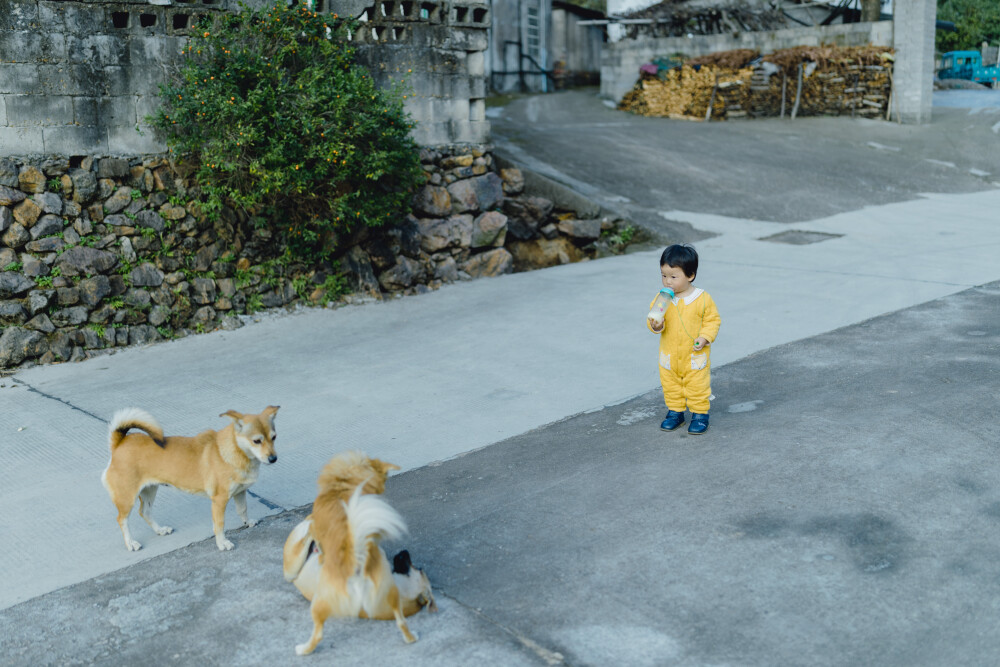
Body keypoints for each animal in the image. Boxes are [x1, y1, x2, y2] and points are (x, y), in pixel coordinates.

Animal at [100, 408, 278, 552]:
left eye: (274, 437)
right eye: (257, 441)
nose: (273, 459)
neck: (232, 450)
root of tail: (120, 442)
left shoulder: (240, 492)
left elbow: (243, 510)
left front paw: (247, 523)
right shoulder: (219, 501)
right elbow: (219, 525)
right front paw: (222, 543)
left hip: (150, 490)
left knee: (145, 512)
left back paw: (160, 530)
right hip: (127, 498)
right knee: (122, 520)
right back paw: (131, 543)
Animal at [284, 452, 436, 656]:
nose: (404, 552)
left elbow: (314, 534)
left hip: (314, 596)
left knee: (318, 633)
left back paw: (303, 649)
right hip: (389, 592)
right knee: (401, 622)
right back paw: (410, 637)